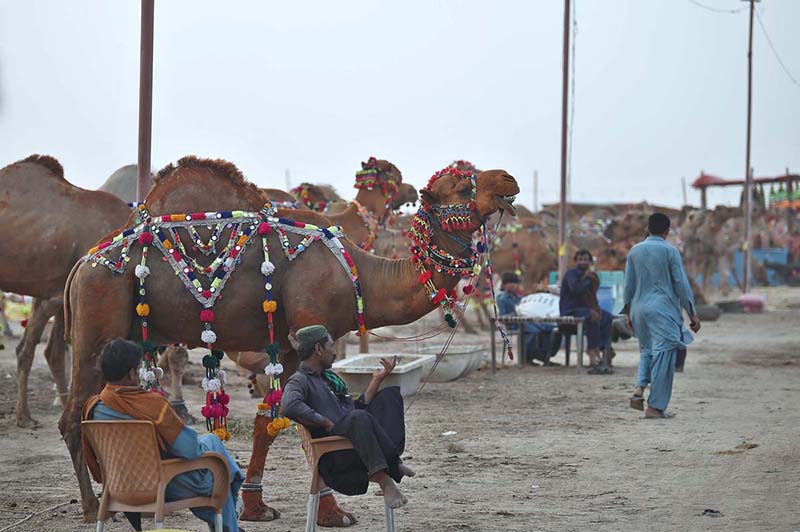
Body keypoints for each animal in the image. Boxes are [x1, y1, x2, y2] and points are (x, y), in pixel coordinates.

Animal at [59, 156, 519, 523]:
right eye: (459, 184)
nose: (508, 178)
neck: (361, 277)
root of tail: (81, 263)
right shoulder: (308, 327)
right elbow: (307, 429)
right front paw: (334, 512)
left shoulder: (287, 346)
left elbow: (269, 421)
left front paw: (256, 505)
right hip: (97, 319)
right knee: (73, 414)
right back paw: (92, 508)